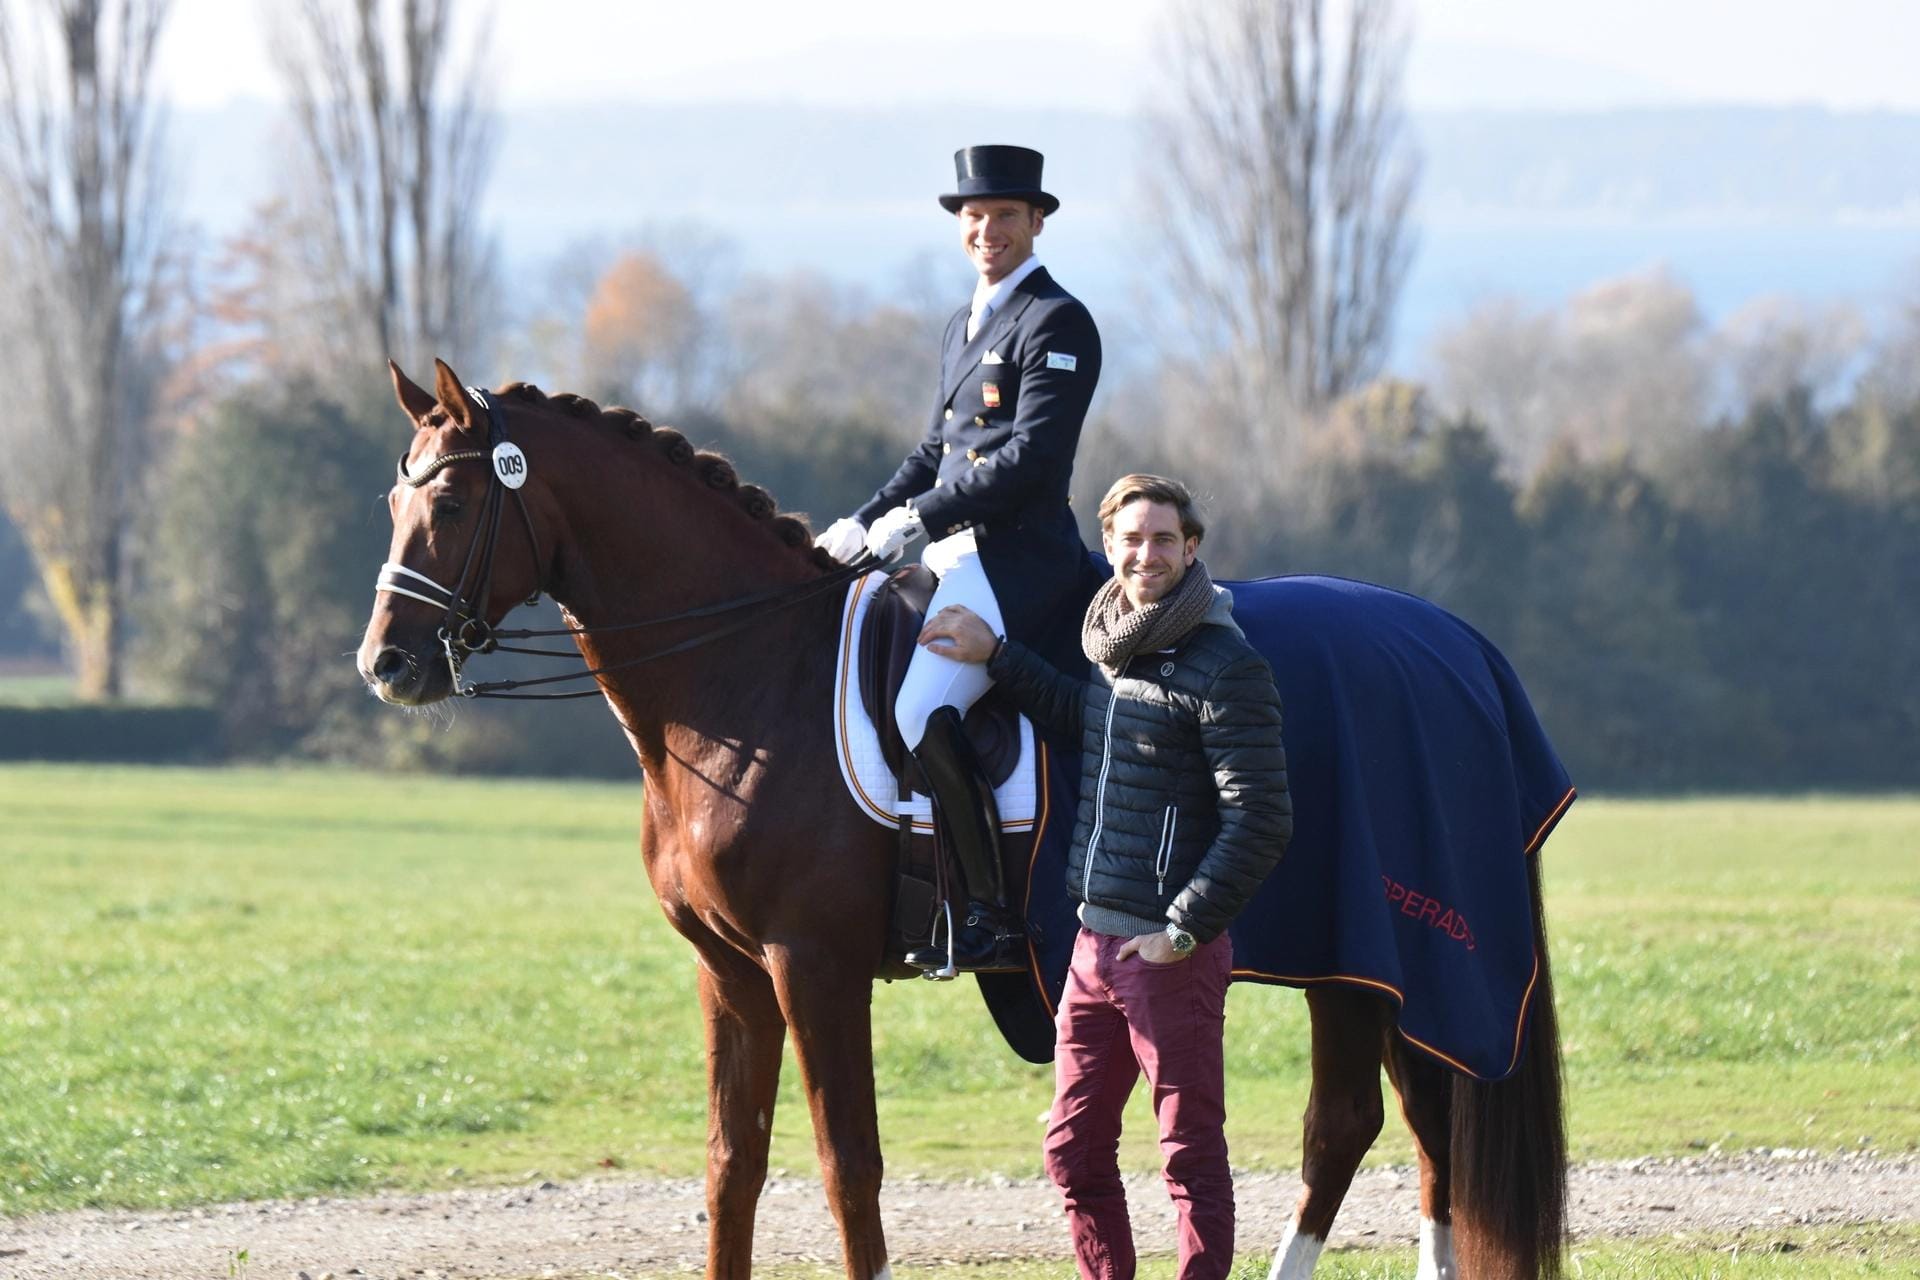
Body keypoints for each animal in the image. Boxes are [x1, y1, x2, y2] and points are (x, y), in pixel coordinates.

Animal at [355, 359, 1568, 1280]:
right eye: (393, 504)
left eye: (452, 505)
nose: (387, 665)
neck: (747, 675)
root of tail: (1453, 643)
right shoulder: (730, 970)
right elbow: (731, 1166)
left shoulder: (814, 964)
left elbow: (848, 1164)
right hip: (1368, 961)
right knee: (1412, 1125)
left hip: (1366, 948)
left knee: (1349, 1124)